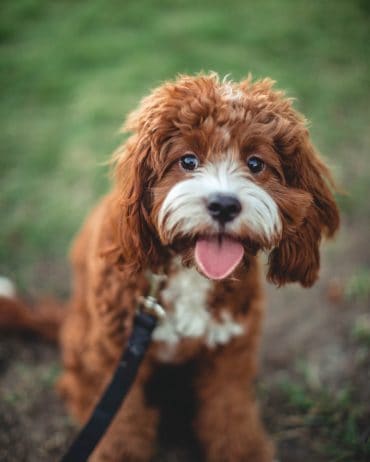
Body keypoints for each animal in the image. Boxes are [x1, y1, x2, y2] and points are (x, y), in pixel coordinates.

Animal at [0, 74, 342, 460]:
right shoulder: (114, 354)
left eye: (255, 164)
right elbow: (122, 426)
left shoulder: (229, 353)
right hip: (84, 345)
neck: (188, 271)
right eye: (188, 160)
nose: (224, 205)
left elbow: (231, 416)